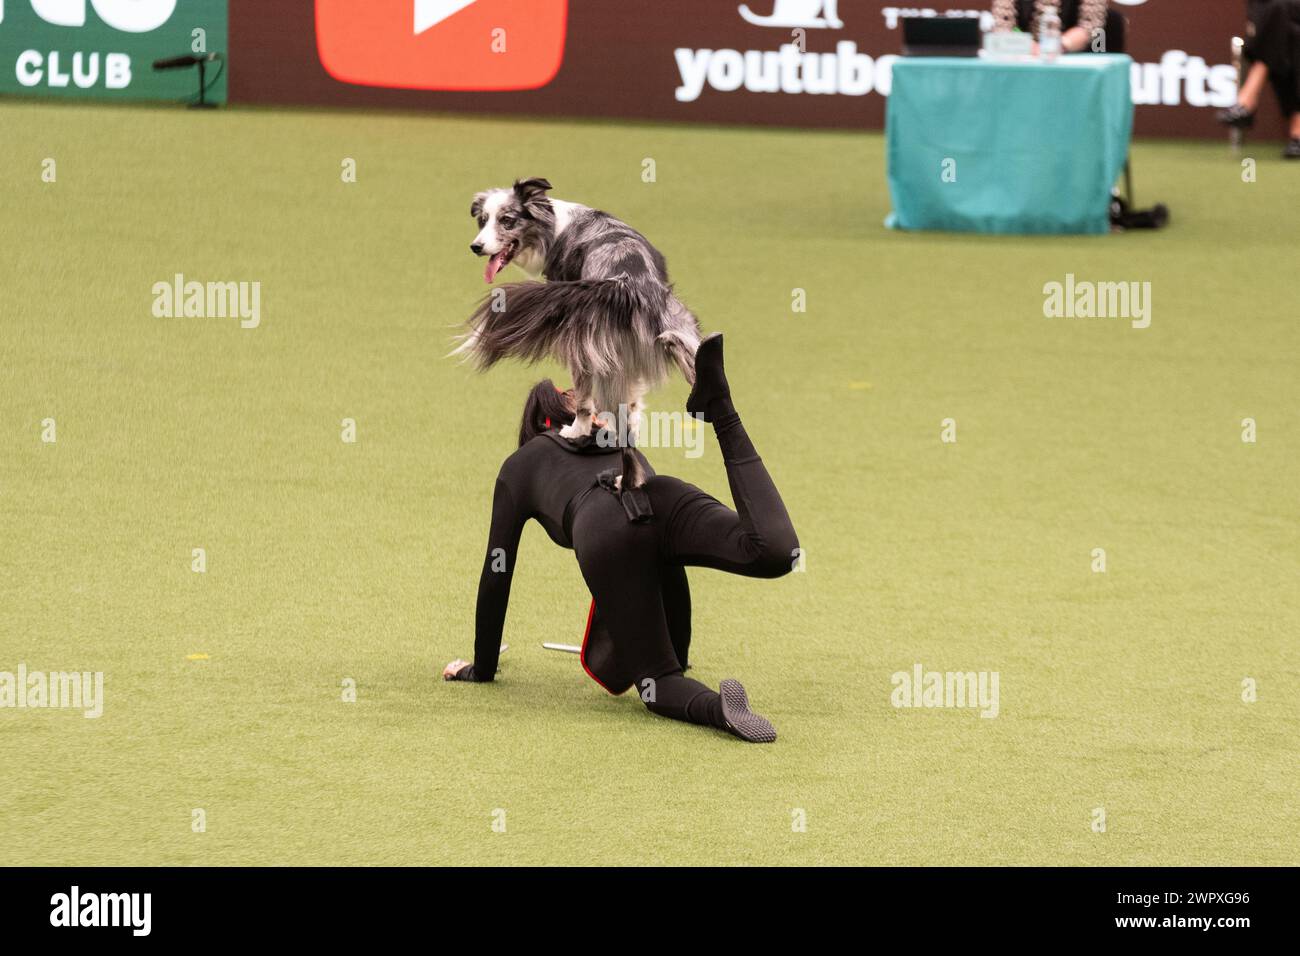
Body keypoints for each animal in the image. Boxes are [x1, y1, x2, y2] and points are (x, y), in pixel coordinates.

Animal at [457, 176, 702, 489]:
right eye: (482, 220)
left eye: (507, 220)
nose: (476, 247)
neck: (553, 226)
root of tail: (626, 284)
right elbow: (636, 410)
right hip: (686, 338)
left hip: (586, 352)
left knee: (591, 408)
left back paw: (586, 442)